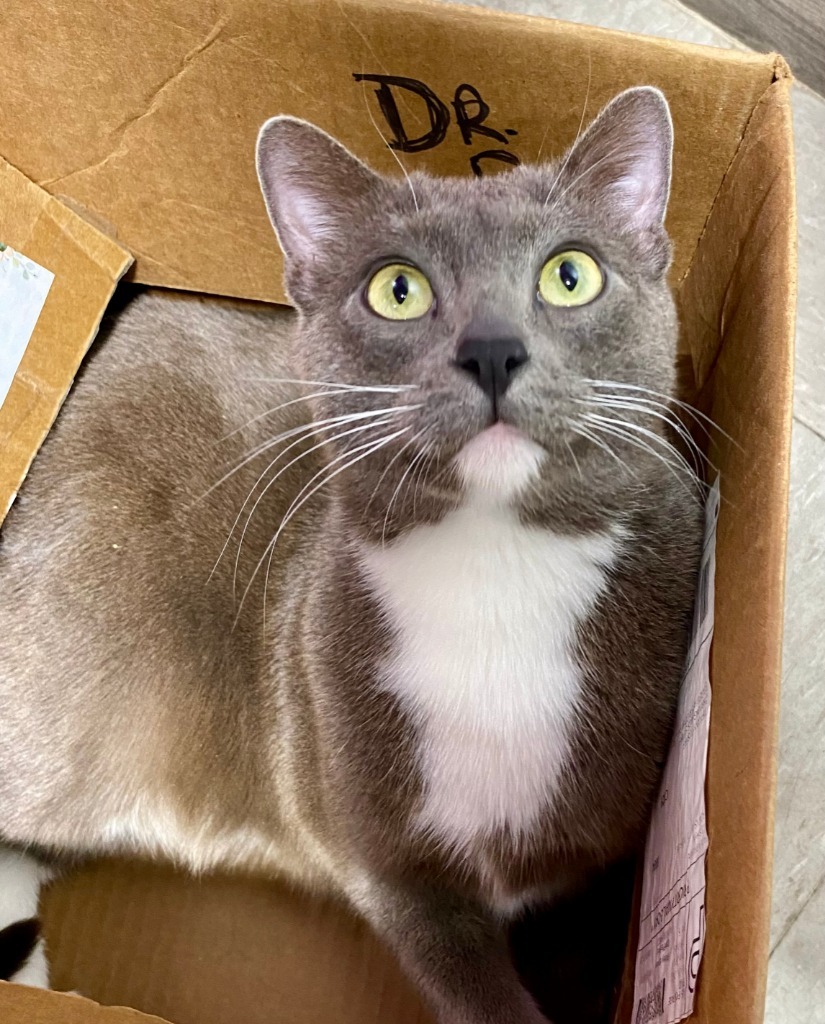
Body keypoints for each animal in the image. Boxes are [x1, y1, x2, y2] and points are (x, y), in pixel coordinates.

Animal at [1, 88, 704, 1024]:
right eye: (396, 290)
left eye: (570, 274)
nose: (491, 348)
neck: (496, 570)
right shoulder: (384, 849)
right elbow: (469, 981)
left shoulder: (611, 844)